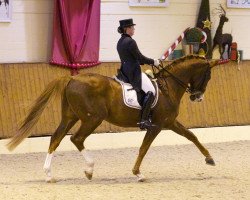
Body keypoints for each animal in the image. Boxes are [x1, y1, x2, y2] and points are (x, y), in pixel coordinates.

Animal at [6, 55, 219, 183]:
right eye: (208, 75)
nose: (198, 97)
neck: (168, 88)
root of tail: (72, 78)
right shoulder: (157, 126)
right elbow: (143, 148)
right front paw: (138, 173)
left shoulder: (170, 122)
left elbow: (192, 136)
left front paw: (209, 158)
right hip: (93, 119)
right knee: (76, 139)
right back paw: (89, 170)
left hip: (70, 117)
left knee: (56, 139)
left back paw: (49, 175)